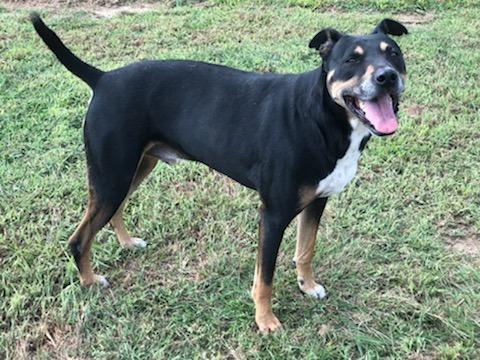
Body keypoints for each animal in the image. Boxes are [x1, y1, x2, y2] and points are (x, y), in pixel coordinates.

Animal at [30, 12, 406, 334]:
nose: (387, 76)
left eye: (394, 53)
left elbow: (305, 250)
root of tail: (104, 78)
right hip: (113, 174)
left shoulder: (317, 202)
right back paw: (90, 282)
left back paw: (126, 243)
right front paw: (265, 321)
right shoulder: (273, 214)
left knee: (113, 212)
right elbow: (265, 278)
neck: (321, 115)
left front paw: (307, 285)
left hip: (133, 168)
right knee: (80, 239)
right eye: (352, 60)